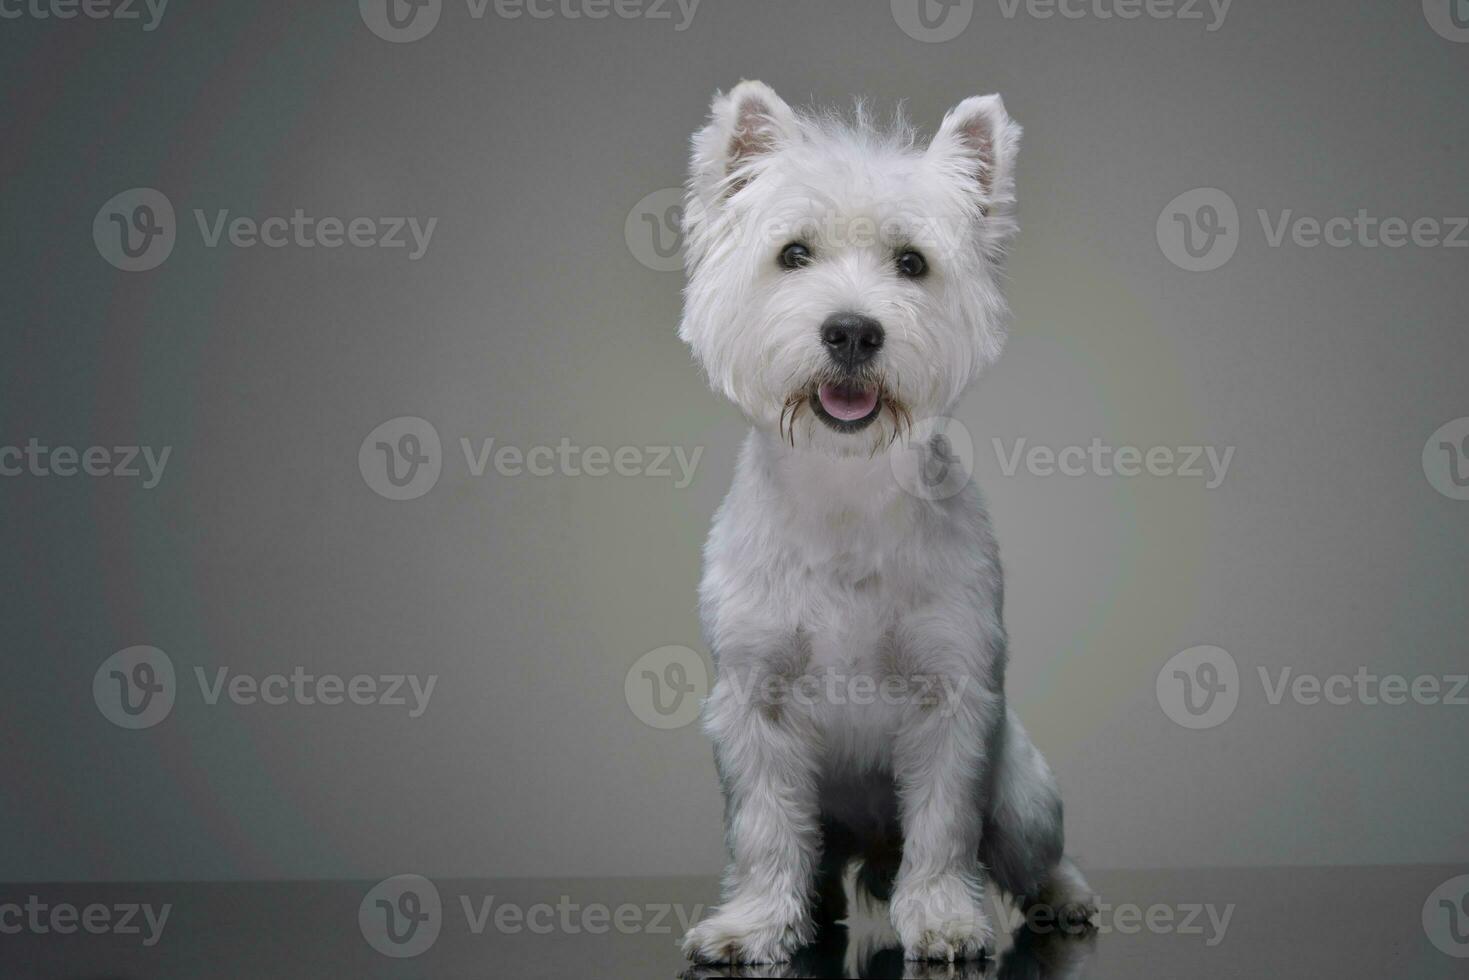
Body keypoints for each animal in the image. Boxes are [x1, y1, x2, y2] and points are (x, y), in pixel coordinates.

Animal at [675, 78, 1092, 963]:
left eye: (912, 263)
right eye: (793, 253)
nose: (852, 330)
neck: (845, 495)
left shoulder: (950, 697)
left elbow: (942, 825)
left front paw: (940, 919)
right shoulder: (755, 702)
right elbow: (764, 829)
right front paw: (752, 925)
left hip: (1023, 798)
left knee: (1035, 855)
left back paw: (1063, 898)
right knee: (817, 859)